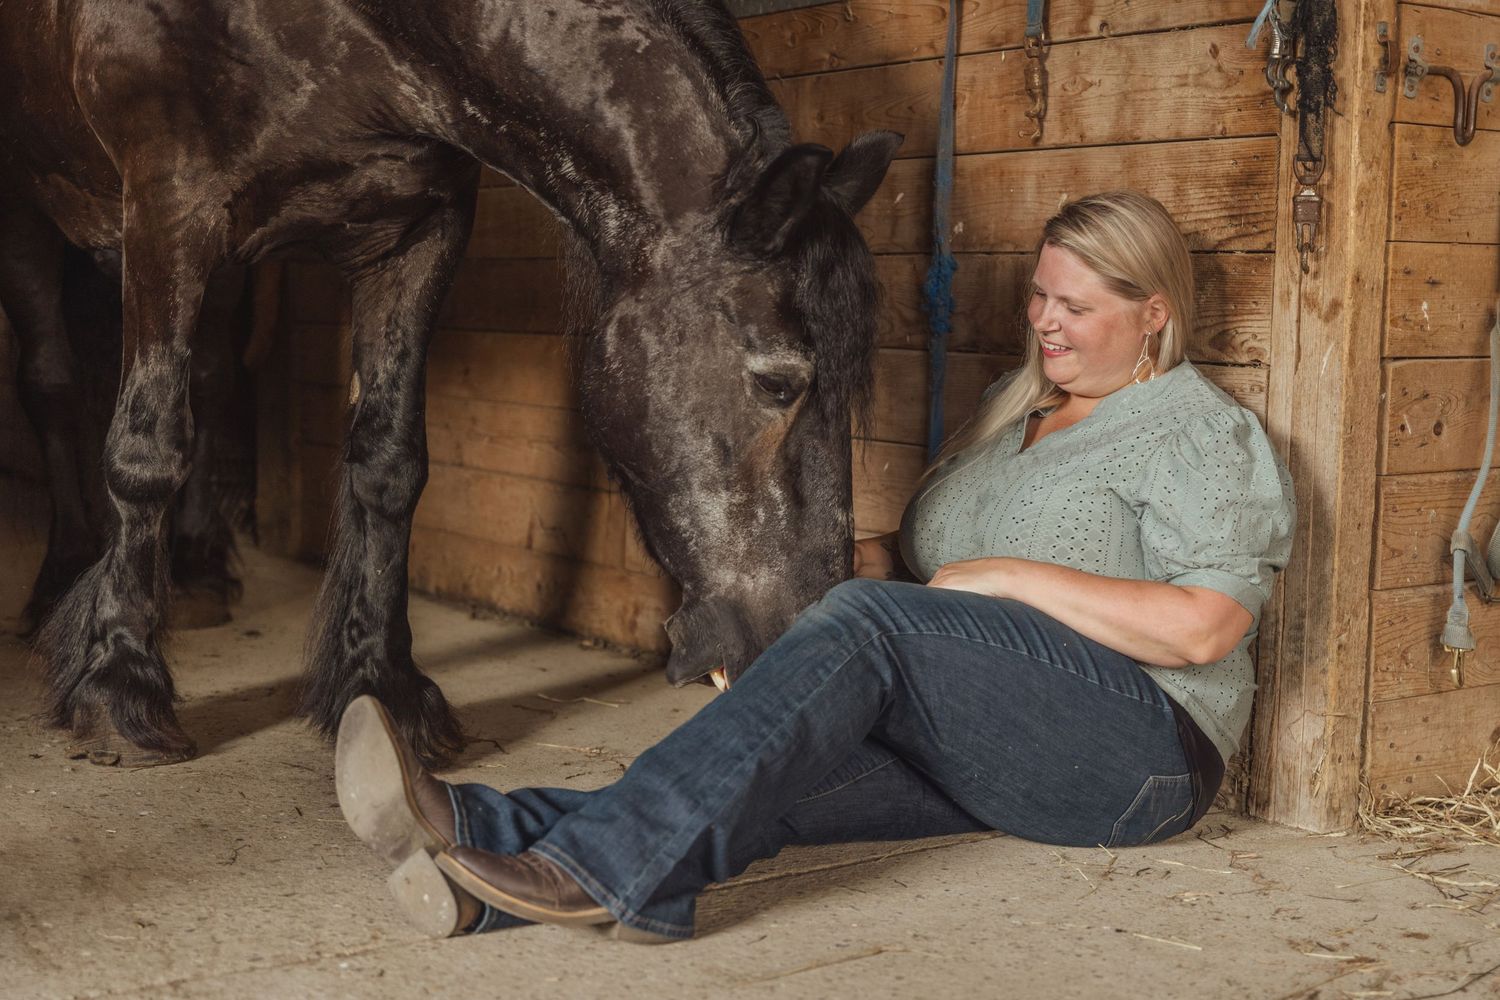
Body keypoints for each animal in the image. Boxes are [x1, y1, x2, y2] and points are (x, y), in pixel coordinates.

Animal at [0, 0, 900, 768]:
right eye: (778, 383)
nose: (808, 631)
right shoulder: (169, 207)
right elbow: (145, 451)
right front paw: (118, 691)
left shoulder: (418, 230)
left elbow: (390, 464)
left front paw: (383, 690)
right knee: (55, 387)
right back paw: (58, 584)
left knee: (213, 383)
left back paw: (196, 575)